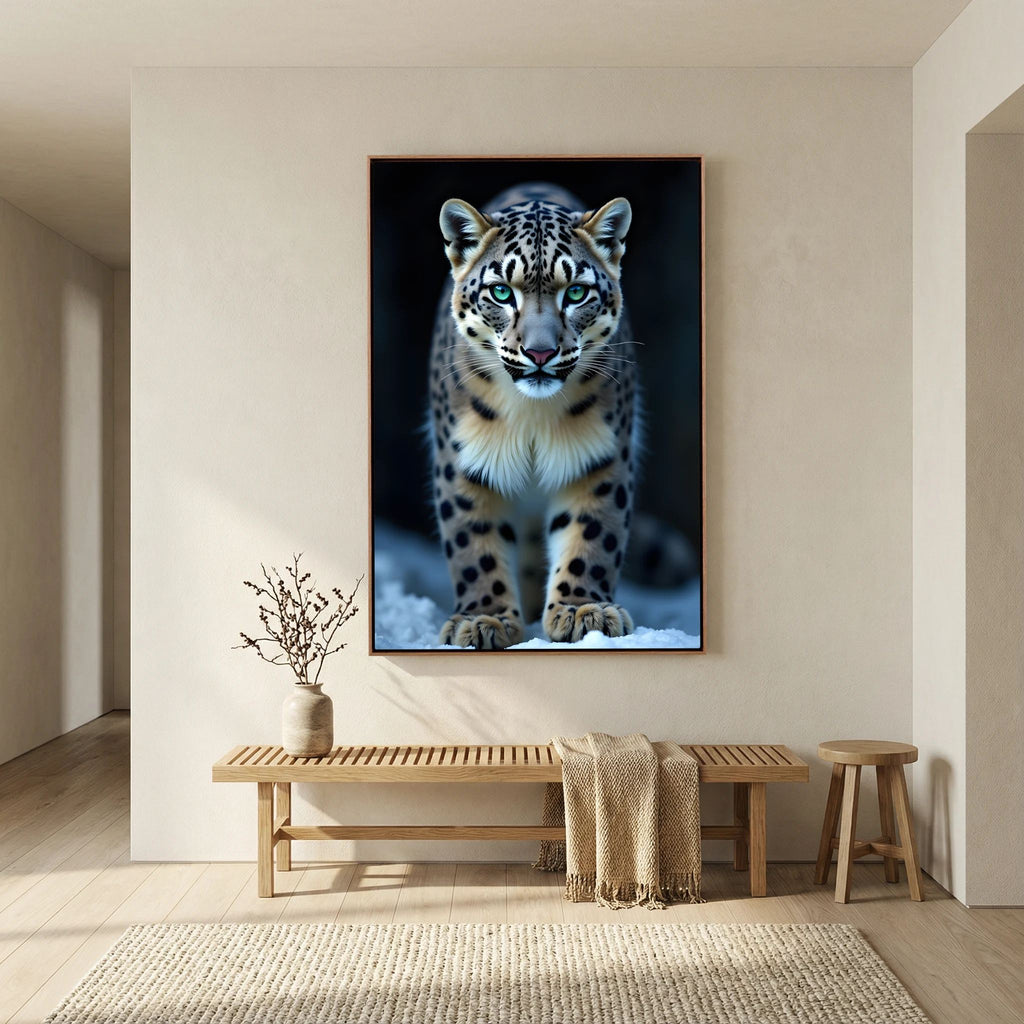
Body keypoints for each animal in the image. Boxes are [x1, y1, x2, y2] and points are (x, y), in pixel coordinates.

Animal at [428, 182, 640, 650]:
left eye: (575, 292)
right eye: (501, 292)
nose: (540, 353)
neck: (532, 416)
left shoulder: (599, 457)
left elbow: (591, 534)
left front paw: (583, 611)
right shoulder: (464, 462)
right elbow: (474, 543)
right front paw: (483, 619)